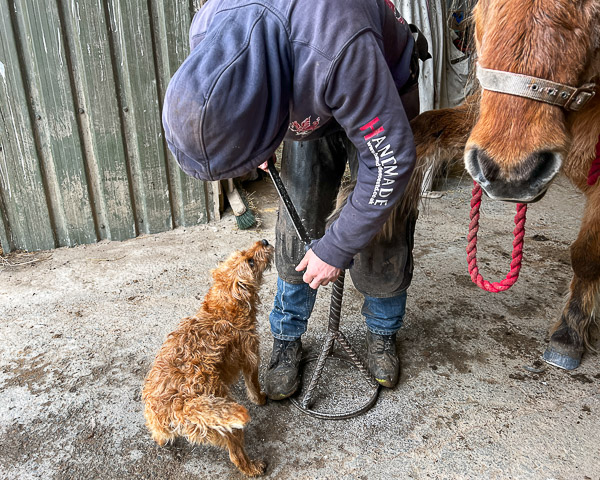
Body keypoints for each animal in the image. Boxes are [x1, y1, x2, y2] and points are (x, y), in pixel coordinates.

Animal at [144, 240, 276, 476]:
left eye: (245, 253)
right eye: (250, 261)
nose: (264, 241)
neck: (222, 311)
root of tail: (182, 406)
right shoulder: (251, 359)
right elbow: (253, 386)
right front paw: (260, 399)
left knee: (159, 435)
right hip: (228, 427)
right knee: (236, 455)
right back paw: (253, 467)